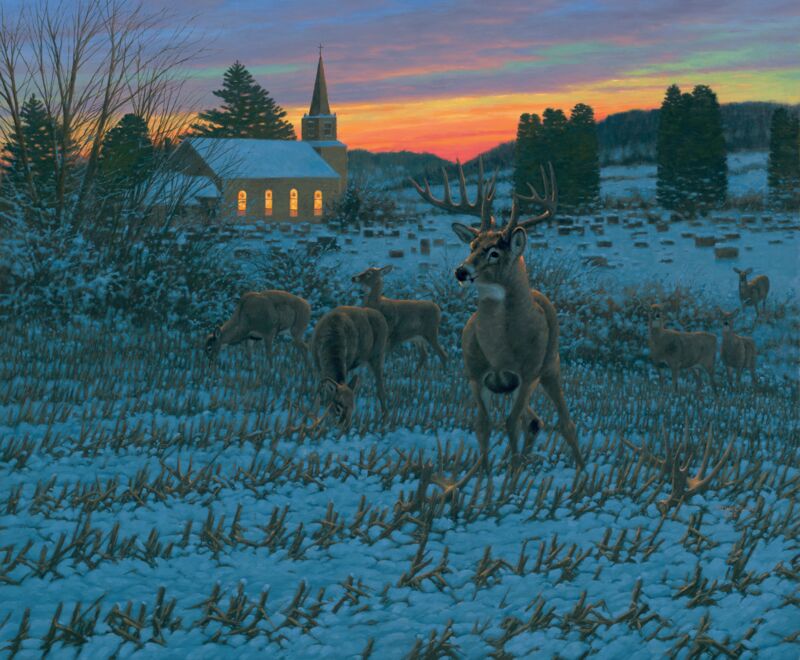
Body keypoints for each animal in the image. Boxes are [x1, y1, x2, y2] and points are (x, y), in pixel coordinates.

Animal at [411, 159, 584, 474]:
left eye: (494, 253)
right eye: (471, 246)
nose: (461, 271)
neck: (500, 349)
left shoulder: (527, 374)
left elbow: (510, 423)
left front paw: (512, 475)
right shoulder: (475, 375)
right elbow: (484, 424)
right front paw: (485, 474)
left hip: (550, 366)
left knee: (563, 422)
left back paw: (581, 471)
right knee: (535, 421)